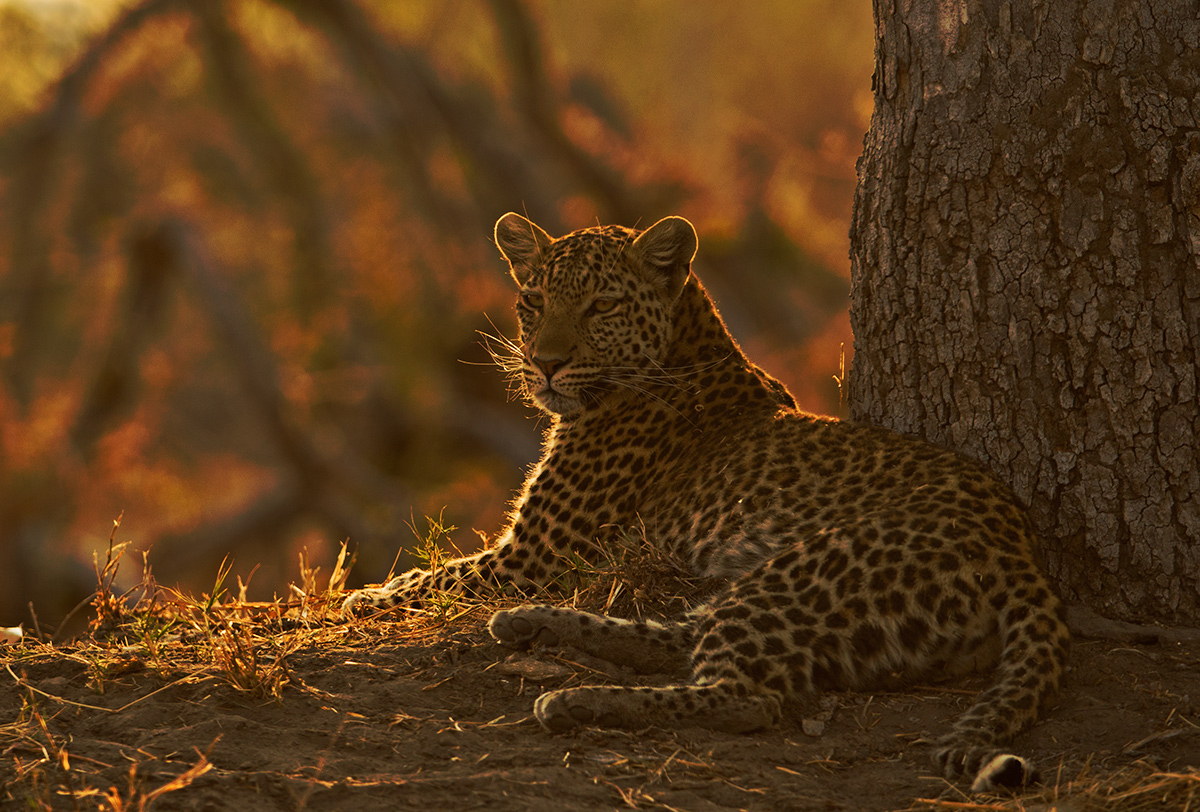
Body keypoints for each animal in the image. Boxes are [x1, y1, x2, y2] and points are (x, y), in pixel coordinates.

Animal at [342, 212, 1070, 793]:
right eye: (533, 299)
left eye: (601, 306)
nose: (545, 364)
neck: (687, 347)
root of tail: (1019, 547)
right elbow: (440, 574)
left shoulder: (531, 555)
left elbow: (437, 578)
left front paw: (364, 598)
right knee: (684, 636)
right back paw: (532, 626)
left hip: (812, 567)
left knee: (741, 696)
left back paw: (576, 699)